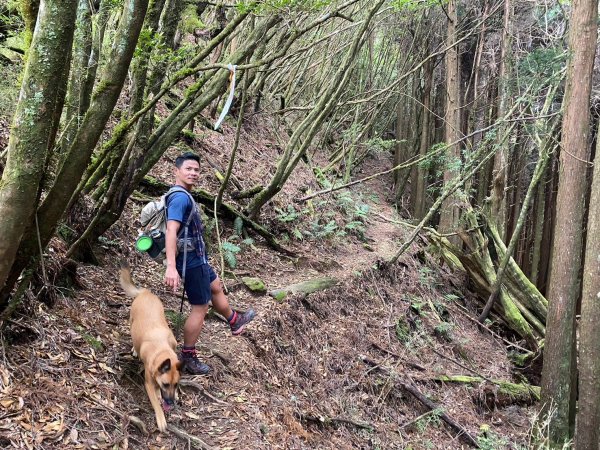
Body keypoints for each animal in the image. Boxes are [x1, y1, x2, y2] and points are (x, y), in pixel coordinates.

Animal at [119, 266, 180, 430]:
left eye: (176, 385)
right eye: (166, 384)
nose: (171, 402)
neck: (161, 349)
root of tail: (146, 292)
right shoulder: (148, 383)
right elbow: (156, 403)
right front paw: (161, 418)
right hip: (132, 323)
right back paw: (135, 350)